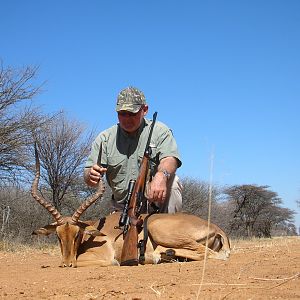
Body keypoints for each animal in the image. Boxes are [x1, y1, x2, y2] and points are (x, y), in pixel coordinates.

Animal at [31, 145, 231, 268]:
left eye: (77, 234)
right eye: (58, 236)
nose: (67, 264)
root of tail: (216, 228)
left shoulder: (102, 259)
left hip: (159, 229)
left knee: (213, 255)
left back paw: (159, 255)